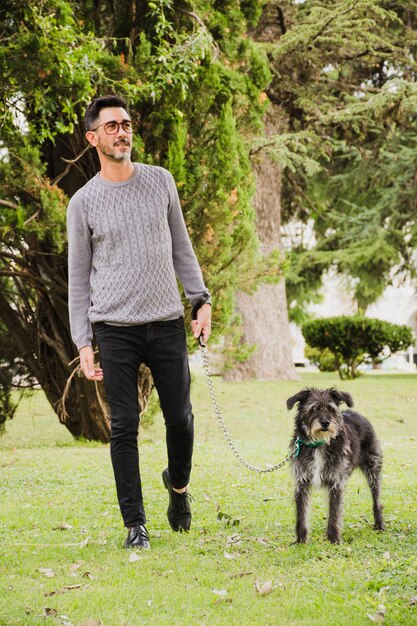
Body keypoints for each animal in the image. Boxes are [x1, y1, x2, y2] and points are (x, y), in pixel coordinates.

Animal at [286, 386, 384, 540]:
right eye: (313, 409)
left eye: (331, 409)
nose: (325, 423)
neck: (319, 443)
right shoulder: (302, 482)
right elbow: (301, 514)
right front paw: (301, 540)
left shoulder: (336, 482)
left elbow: (334, 512)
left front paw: (334, 540)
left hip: (373, 469)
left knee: (376, 499)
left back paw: (379, 524)